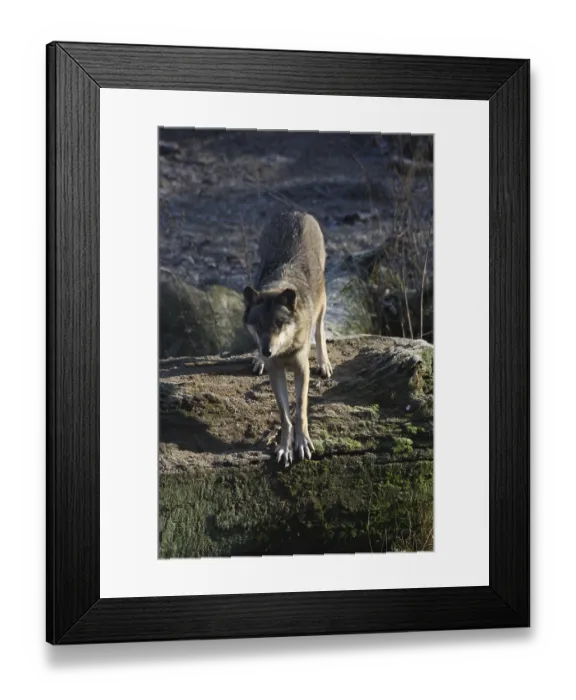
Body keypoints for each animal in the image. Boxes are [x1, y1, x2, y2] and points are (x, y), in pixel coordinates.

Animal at [243, 211, 333, 465]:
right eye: (259, 325)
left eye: (279, 324)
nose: (266, 351)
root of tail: (295, 212)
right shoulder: (276, 371)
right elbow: (284, 414)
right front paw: (285, 447)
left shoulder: (302, 368)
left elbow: (300, 408)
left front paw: (302, 443)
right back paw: (258, 360)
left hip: (322, 299)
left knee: (320, 329)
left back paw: (324, 363)